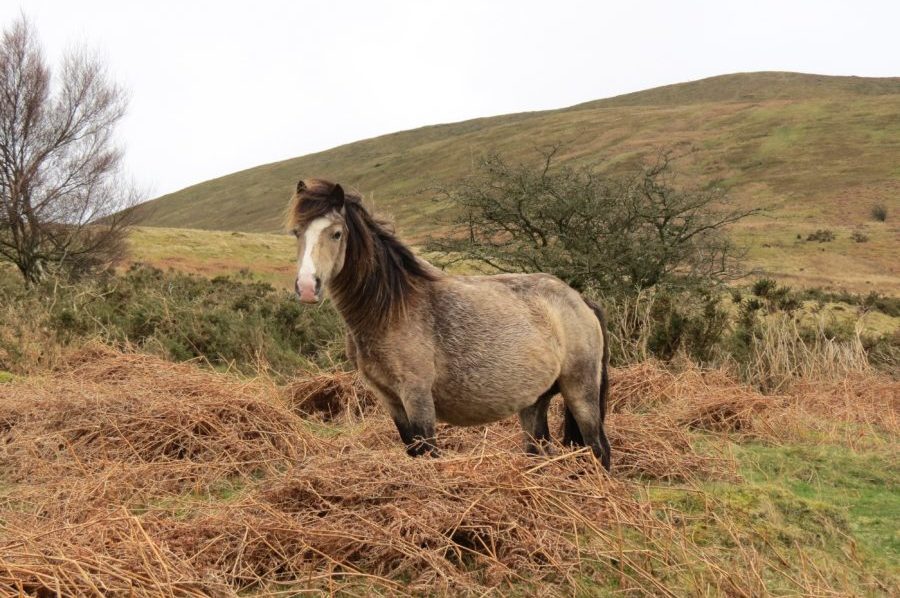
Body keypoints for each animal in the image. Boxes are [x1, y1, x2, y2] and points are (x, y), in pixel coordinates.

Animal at [288, 180, 612, 472]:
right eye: (297, 233)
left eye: (336, 233)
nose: (307, 287)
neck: (391, 309)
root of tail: (579, 299)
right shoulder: (390, 400)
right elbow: (414, 452)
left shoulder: (417, 396)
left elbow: (429, 454)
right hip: (535, 401)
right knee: (539, 451)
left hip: (580, 390)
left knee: (598, 448)